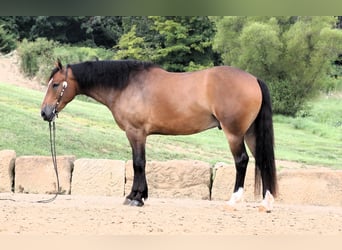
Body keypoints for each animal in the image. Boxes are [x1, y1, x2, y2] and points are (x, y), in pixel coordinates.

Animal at [41, 59, 278, 211]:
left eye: (55, 85)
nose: (45, 113)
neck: (127, 85)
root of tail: (254, 79)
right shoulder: (140, 135)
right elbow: (141, 163)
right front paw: (139, 196)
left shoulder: (135, 132)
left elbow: (138, 163)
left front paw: (135, 198)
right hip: (251, 133)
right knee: (262, 161)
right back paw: (266, 203)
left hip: (234, 134)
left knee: (242, 161)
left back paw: (234, 200)